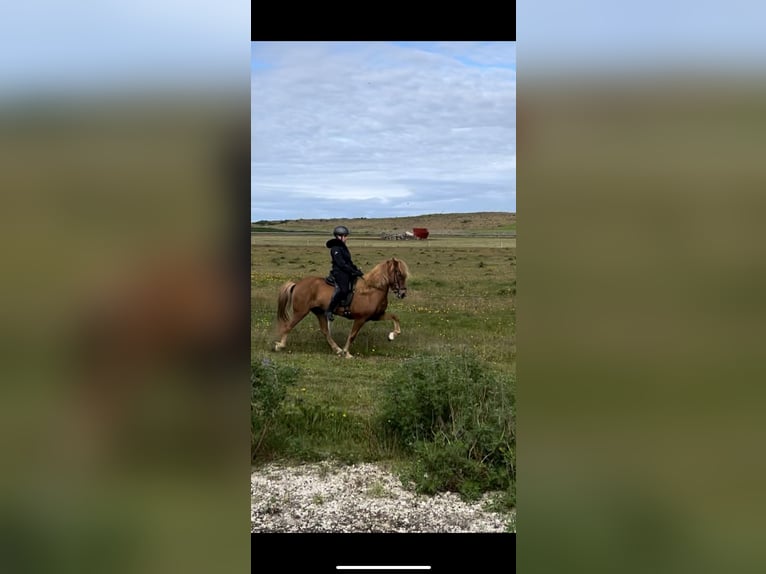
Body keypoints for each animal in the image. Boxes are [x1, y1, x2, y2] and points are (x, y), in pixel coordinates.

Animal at [274, 258, 412, 358]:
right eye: (399, 274)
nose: (402, 294)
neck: (371, 290)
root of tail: (297, 284)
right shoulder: (360, 319)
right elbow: (352, 335)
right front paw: (347, 353)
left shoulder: (376, 316)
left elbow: (395, 317)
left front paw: (392, 335)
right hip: (300, 312)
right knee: (288, 326)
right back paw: (280, 346)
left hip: (320, 312)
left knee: (325, 331)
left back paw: (337, 349)